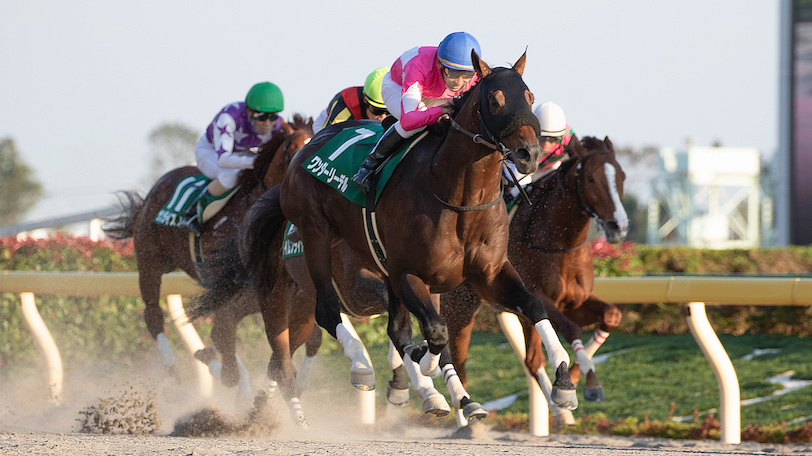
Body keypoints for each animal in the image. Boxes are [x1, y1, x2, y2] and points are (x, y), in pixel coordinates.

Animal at [103, 114, 313, 401]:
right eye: (293, 150)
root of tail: (154, 190)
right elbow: (225, 340)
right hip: (150, 261)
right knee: (153, 314)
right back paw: (174, 369)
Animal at [229, 51, 579, 424]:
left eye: (529, 97)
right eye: (495, 100)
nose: (530, 153)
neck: (460, 199)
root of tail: (307, 150)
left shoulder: (488, 274)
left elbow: (532, 305)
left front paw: (563, 381)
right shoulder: (406, 275)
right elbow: (435, 334)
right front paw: (426, 368)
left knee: (388, 331)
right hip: (313, 239)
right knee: (324, 313)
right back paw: (361, 366)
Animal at [440, 135, 629, 423]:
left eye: (622, 176)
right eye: (591, 179)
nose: (619, 226)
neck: (559, 242)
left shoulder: (574, 301)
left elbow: (611, 315)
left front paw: (574, 380)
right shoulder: (539, 296)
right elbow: (570, 329)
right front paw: (588, 385)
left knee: (531, 360)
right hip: (459, 305)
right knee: (460, 365)